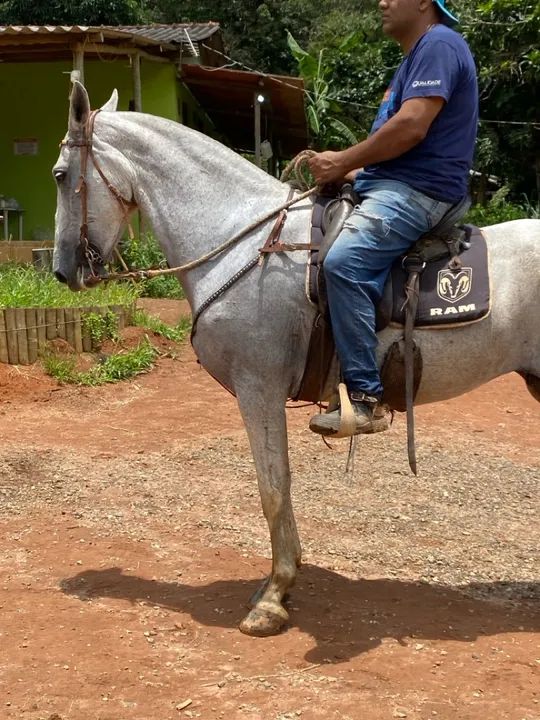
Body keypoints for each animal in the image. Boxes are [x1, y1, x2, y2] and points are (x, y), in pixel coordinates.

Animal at [52, 83, 540, 637]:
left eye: (61, 175)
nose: (62, 270)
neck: (244, 241)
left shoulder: (258, 387)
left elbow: (273, 486)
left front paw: (274, 594)